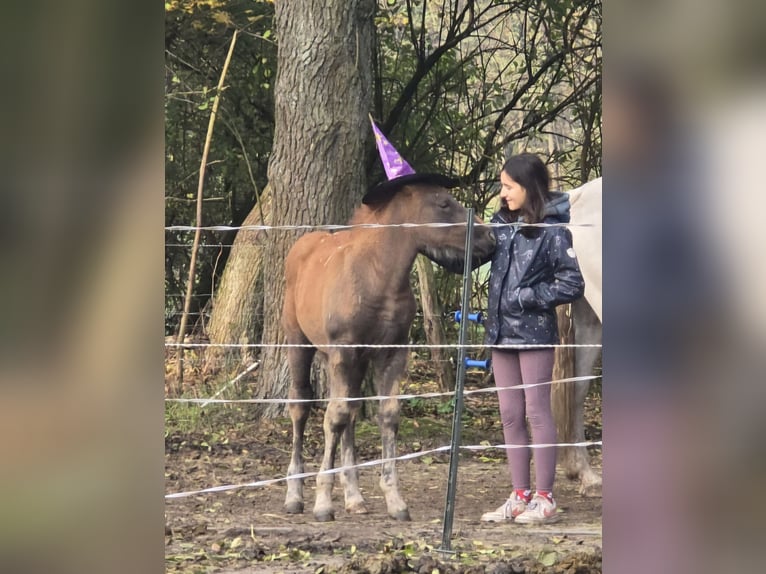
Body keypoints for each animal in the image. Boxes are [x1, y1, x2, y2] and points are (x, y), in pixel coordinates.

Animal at [281, 182, 496, 522]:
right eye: (443, 203)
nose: (491, 237)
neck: (377, 276)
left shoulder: (391, 353)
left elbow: (387, 415)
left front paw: (395, 500)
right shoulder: (343, 351)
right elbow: (334, 417)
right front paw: (323, 502)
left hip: (350, 362)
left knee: (350, 411)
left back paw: (355, 498)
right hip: (300, 343)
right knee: (301, 405)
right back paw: (294, 496)